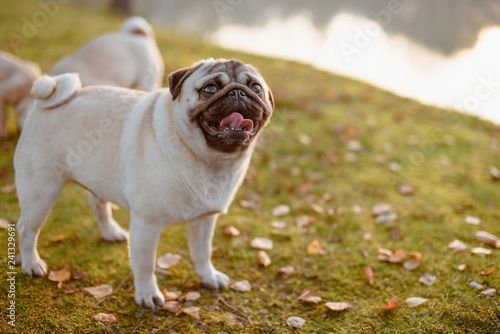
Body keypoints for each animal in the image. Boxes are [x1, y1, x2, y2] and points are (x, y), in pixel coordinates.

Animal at [15, 58, 274, 310]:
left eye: (256, 88)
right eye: (209, 89)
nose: (238, 93)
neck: (208, 160)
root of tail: (48, 99)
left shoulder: (204, 222)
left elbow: (203, 253)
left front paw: (208, 277)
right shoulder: (146, 225)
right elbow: (145, 264)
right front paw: (147, 294)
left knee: (97, 203)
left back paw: (110, 232)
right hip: (40, 192)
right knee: (27, 229)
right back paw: (31, 264)